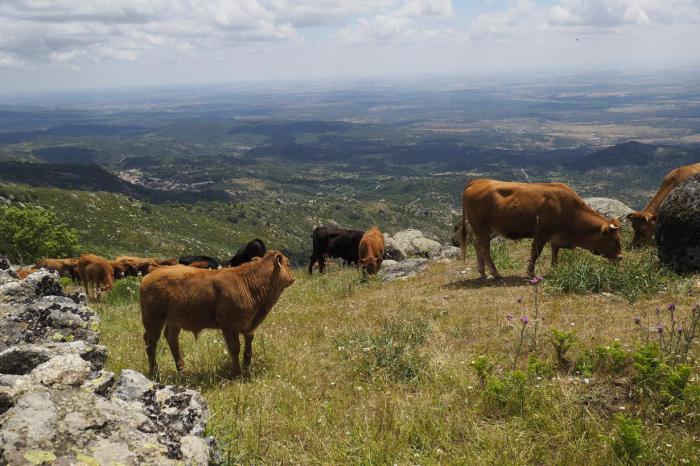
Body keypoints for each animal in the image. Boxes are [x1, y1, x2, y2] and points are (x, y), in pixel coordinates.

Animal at [139, 251, 296, 378]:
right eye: (288, 263)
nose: (293, 276)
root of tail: (153, 272)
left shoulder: (248, 325)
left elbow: (248, 345)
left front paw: (246, 366)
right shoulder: (229, 326)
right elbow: (235, 348)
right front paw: (236, 373)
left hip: (174, 320)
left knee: (172, 339)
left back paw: (182, 370)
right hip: (153, 319)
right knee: (150, 342)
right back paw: (155, 372)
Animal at [462, 180, 620, 278]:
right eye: (614, 240)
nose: (620, 257)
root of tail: (478, 181)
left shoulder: (557, 236)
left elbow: (555, 252)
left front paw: (555, 269)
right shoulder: (542, 233)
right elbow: (535, 253)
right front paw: (531, 273)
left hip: (484, 229)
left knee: (477, 245)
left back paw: (482, 272)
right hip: (481, 226)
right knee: (484, 248)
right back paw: (495, 273)